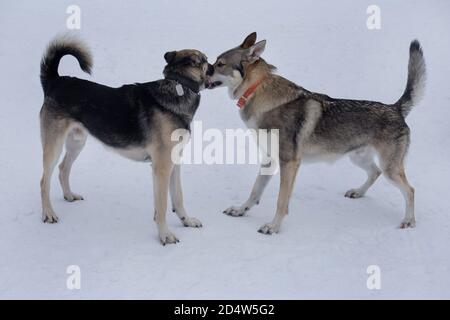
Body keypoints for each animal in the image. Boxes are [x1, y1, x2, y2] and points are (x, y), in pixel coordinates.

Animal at [39, 35, 214, 245]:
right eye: (203, 61)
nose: (216, 66)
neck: (179, 87)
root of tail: (55, 81)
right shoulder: (162, 167)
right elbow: (162, 206)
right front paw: (165, 235)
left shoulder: (174, 162)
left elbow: (178, 196)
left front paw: (186, 220)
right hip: (54, 145)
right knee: (44, 181)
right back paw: (48, 214)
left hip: (77, 142)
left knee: (63, 168)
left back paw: (68, 195)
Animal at [207, 32, 426, 234]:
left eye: (219, 64)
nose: (204, 71)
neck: (256, 90)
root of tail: (395, 108)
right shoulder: (270, 159)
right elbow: (254, 191)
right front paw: (240, 210)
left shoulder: (289, 162)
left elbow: (281, 201)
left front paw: (273, 227)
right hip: (359, 158)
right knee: (375, 172)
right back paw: (358, 192)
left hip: (390, 169)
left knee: (410, 190)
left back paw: (409, 221)